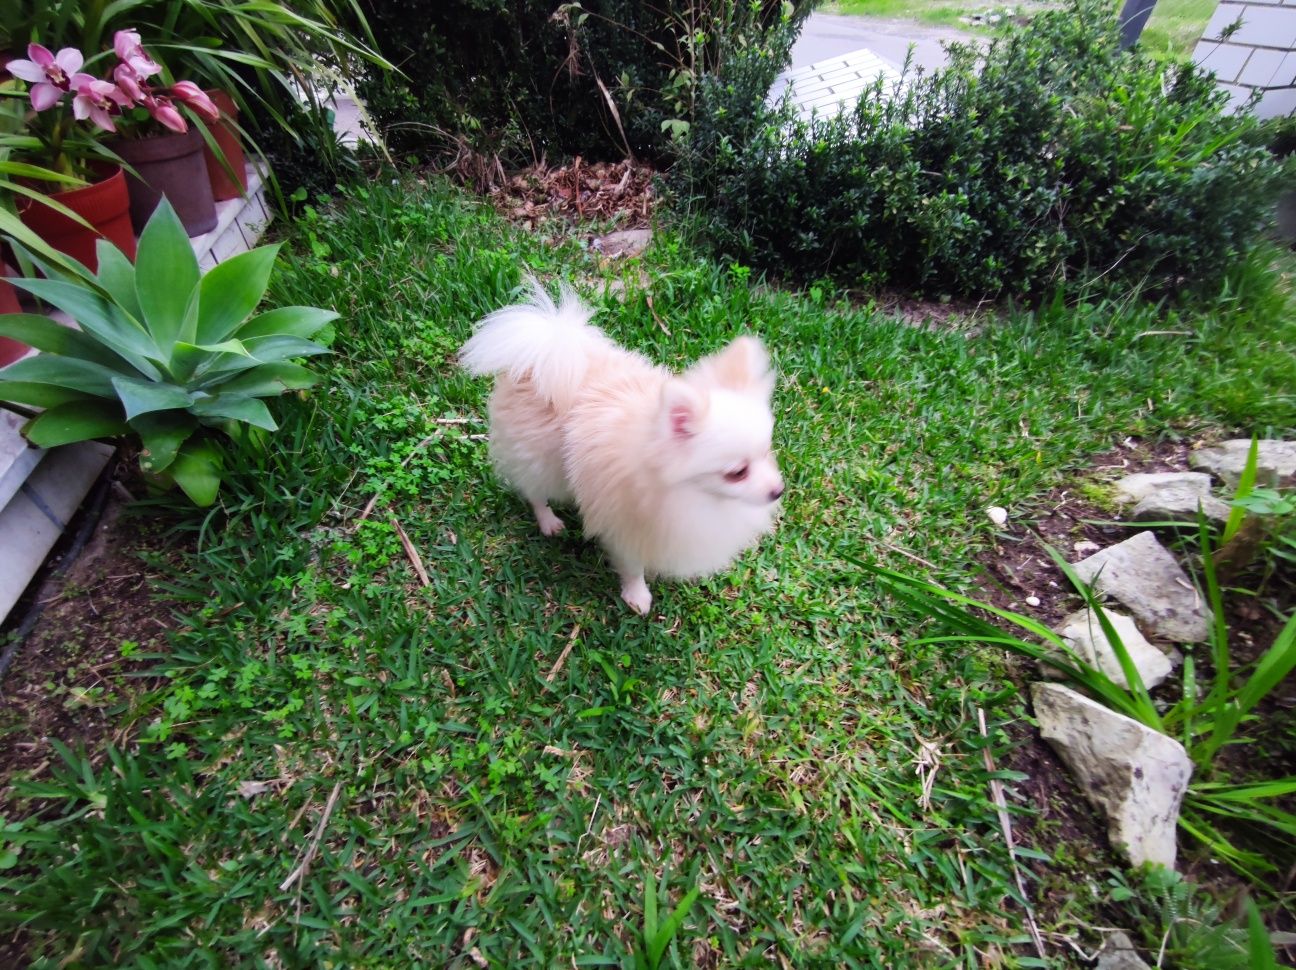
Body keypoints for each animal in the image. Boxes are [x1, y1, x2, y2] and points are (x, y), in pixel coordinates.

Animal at [461, 280, 782, 614]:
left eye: (766, 453)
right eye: (737, 472)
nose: (778, 490)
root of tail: (545, 351)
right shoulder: (624, 525)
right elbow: (631, 566)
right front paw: (637, 595)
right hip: (540, 460)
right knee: (535, 491)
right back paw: (548, 521)